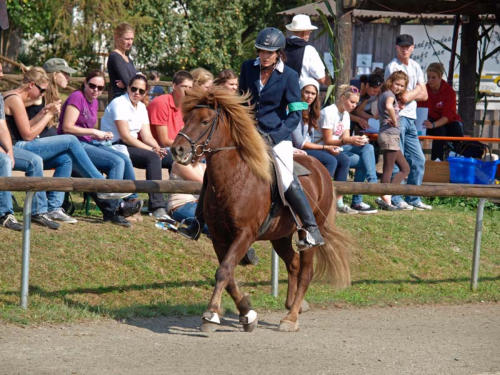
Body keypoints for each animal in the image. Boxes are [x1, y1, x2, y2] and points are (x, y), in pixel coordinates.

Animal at [172, 89, 352, 334]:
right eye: (185, 119)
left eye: (205, 121)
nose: (177, 149)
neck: (235, 179)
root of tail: (321, 169)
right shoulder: (219, 237)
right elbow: (227, 273)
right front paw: (247, 313)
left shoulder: (245, 234)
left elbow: (224, 270)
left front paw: (211, 315)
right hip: (280, 236)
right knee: (293, 263)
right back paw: (292, 305)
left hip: (308, 234)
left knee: (306, 271)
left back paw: (291, 318)